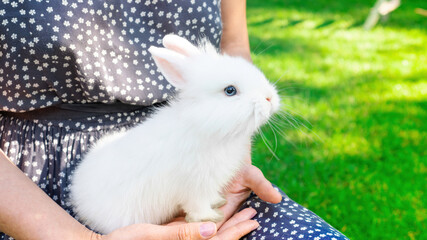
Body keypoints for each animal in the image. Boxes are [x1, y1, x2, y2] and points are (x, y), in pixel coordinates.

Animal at [70, 34, 280, 233]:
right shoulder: (196, 187)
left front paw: (218, 202)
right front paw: (211, 217)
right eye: (230, 90)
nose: (270, 98)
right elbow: (198, 206)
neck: (204, 125)